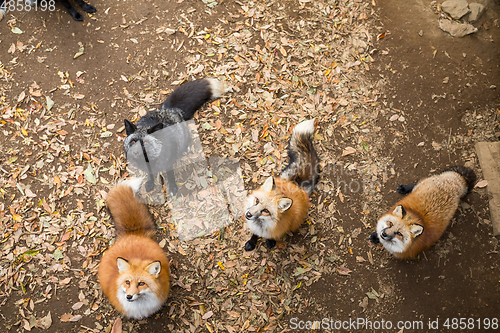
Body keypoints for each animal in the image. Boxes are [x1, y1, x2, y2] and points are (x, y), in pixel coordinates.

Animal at [243, 118, 320, 250]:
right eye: (256, 201)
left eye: (266, 211)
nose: (248, 214)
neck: (261, 225)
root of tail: (294, 183)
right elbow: (254, 235)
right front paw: (252, 242)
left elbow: (270, 237)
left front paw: (270, 242)